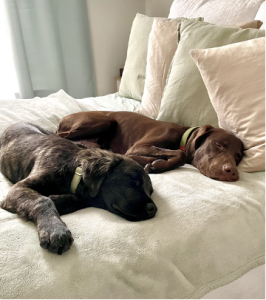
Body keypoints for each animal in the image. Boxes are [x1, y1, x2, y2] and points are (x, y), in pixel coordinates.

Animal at [0, 123, 157, 254]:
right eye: (133, 180)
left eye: (150, 191)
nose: (153, 209)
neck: (73, 169)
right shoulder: (19, 188)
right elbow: (42, 201)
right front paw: (55, 230)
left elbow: (75, 200)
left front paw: (56, 199)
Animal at [57, 112, 244, 182]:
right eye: (218, 145)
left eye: (238, 157)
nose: (233, 172)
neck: (182, 136)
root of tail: (62, 119)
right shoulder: (140, 145)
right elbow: (180, 155)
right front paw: (158, 165)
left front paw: (153, 163)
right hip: (106, 120)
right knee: (61, 136)